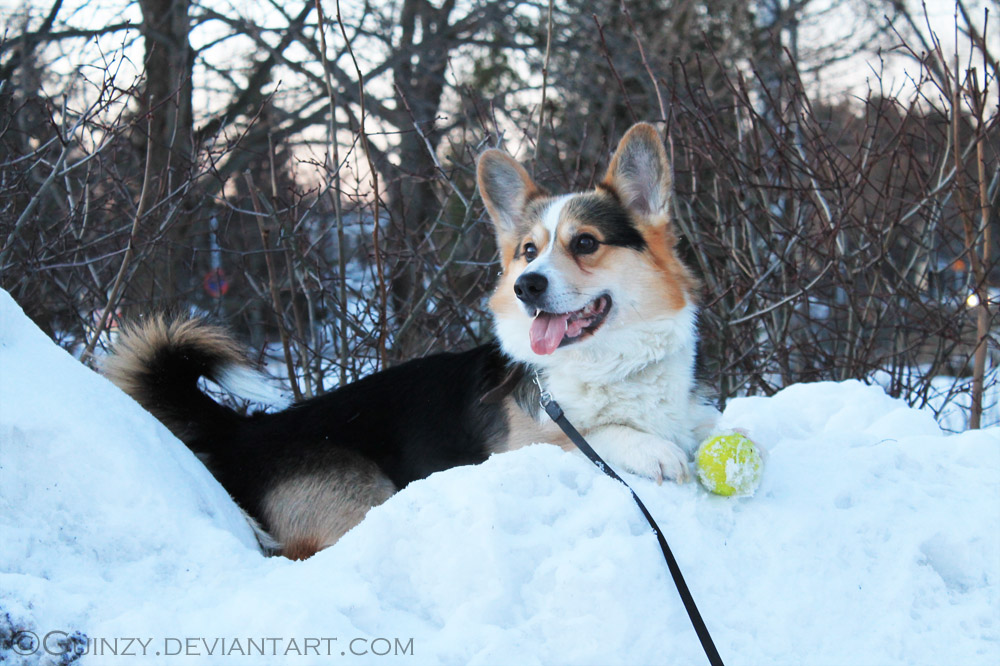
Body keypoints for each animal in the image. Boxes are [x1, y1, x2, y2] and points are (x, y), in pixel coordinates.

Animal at [103, 122, 720, 556]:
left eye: (586, 242)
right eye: (528, 251)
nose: (526, 286)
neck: (611, 363)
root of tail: (244, 432)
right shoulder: (525, 447)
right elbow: (594, 436)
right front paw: (653, 449)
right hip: (363, 498)